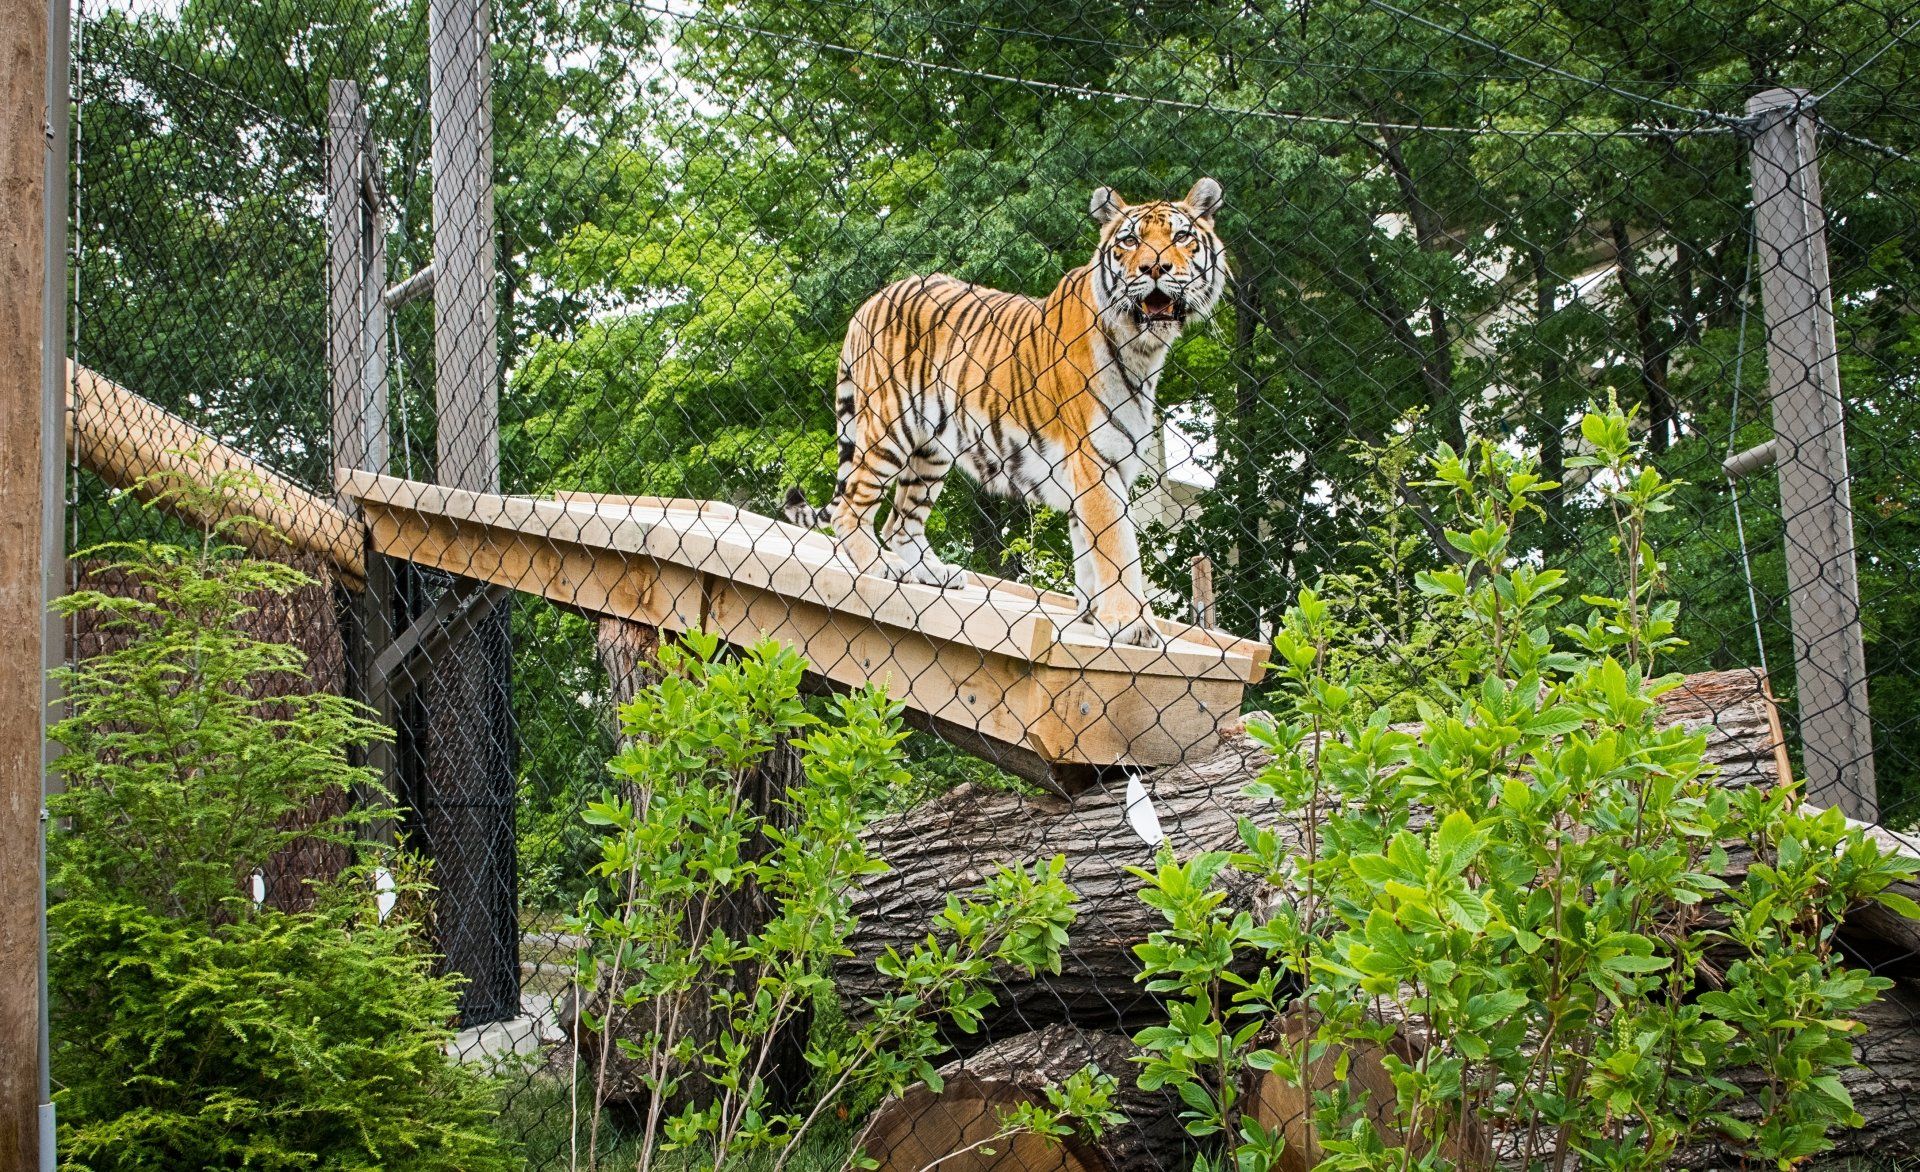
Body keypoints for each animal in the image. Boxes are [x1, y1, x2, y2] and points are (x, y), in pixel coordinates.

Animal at [794, 177, 1228, 649]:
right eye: (1129, 241)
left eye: (1181, 237)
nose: (1154, 269)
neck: (1143, 349)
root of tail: (871, 299)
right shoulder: (1093, 460)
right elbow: (1117, 547)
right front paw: (1131, 622)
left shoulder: (1107, 462)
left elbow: (1088, 548)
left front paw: (1092, 614)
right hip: (892, 427)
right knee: (851, 503)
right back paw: (878, 566)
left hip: (932, 449)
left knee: (900, 521)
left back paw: (933, 572)